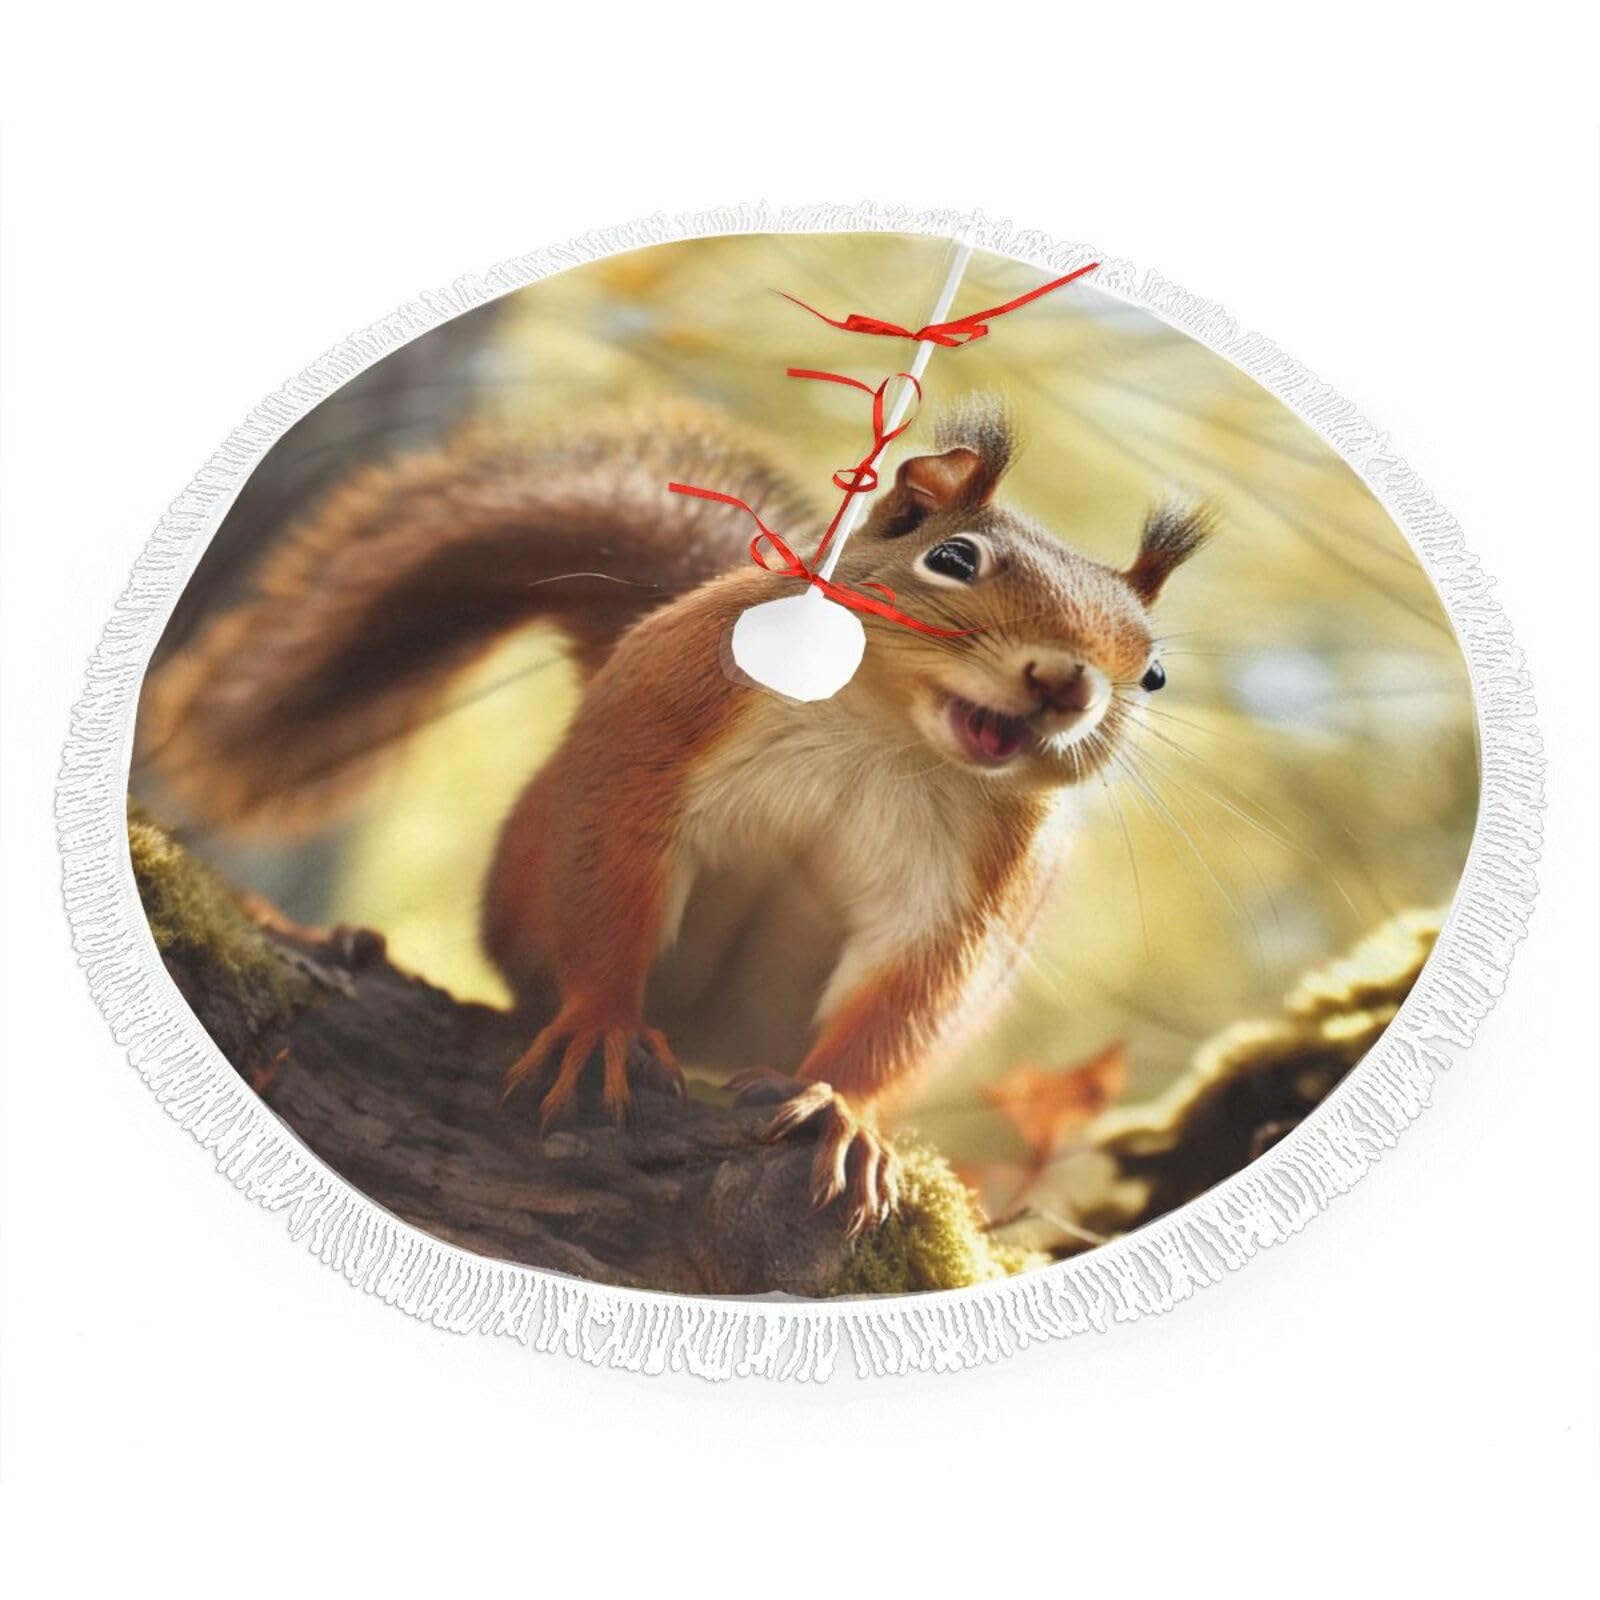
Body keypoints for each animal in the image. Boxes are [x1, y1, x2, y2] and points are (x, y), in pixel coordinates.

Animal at [143, 395, 1210, 1236]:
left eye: (1154, 672)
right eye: (952, 557)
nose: (1066, 684)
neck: (888, 733)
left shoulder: (977, 883)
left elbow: (910, 993)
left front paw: (845, 1111)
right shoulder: (668, 718)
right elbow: (616, 866)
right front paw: (604, 1028)